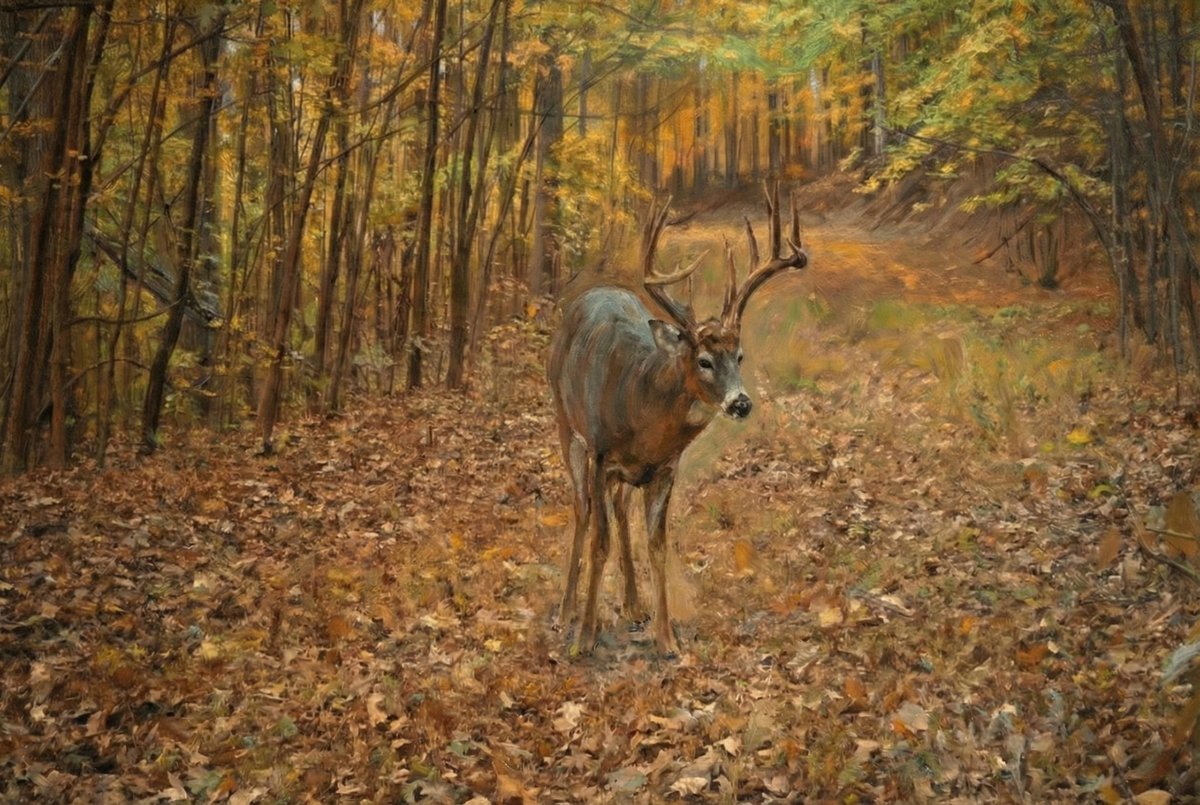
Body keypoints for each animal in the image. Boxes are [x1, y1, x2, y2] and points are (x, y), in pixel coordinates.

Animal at [548, 184, 809, 656]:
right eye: (703, 360)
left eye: (740, 356)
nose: (741, 403)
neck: (642, 412)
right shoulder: (600, 454)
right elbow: (599, 541)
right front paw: (585, 637)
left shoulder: (665, 469)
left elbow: (657, 544)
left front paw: (666, 638)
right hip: (565, 423)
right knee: (582, 509)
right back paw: (566, 611)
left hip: (625, 472)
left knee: (619, 508)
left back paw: (634, 607)